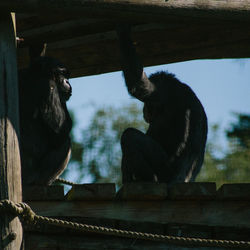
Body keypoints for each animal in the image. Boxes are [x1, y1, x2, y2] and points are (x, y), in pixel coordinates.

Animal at [18, 53, 72, 186]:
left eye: (66, 75)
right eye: (62, 73)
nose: (67, 81)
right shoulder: (50, 85)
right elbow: (59, 132)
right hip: (35, 176)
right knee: (66, 142)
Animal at [116, 25, 208, 186]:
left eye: (147, 103)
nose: (144, 110)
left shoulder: (162, 91)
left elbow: (139, 86)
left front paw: (123, 30)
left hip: (163, 171)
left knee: (130, 136)